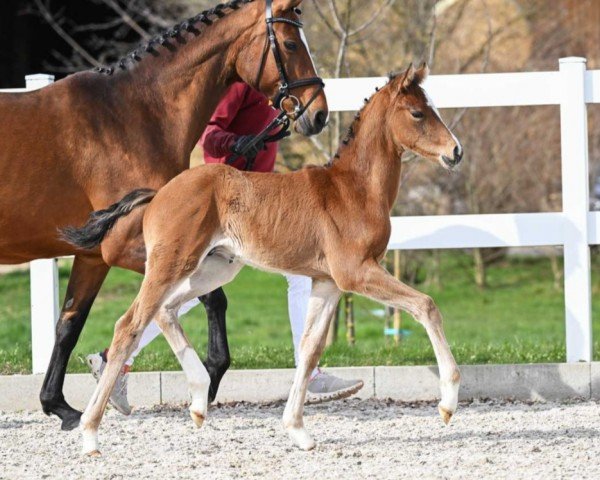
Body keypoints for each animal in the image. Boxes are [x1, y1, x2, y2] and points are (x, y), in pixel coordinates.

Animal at [65, 63, 462, 454]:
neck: (354, 189)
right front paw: (447, 404)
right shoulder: (356, 273)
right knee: (129, 325)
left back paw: (198, 401)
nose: (456, 151)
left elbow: (310, 348)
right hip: (171, 265)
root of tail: (159, 192)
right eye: (417, 112)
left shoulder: (328, 283)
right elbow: (426, 305)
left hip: (213, 269)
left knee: (165, 311)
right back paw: (90, 433)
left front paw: (298, 431)